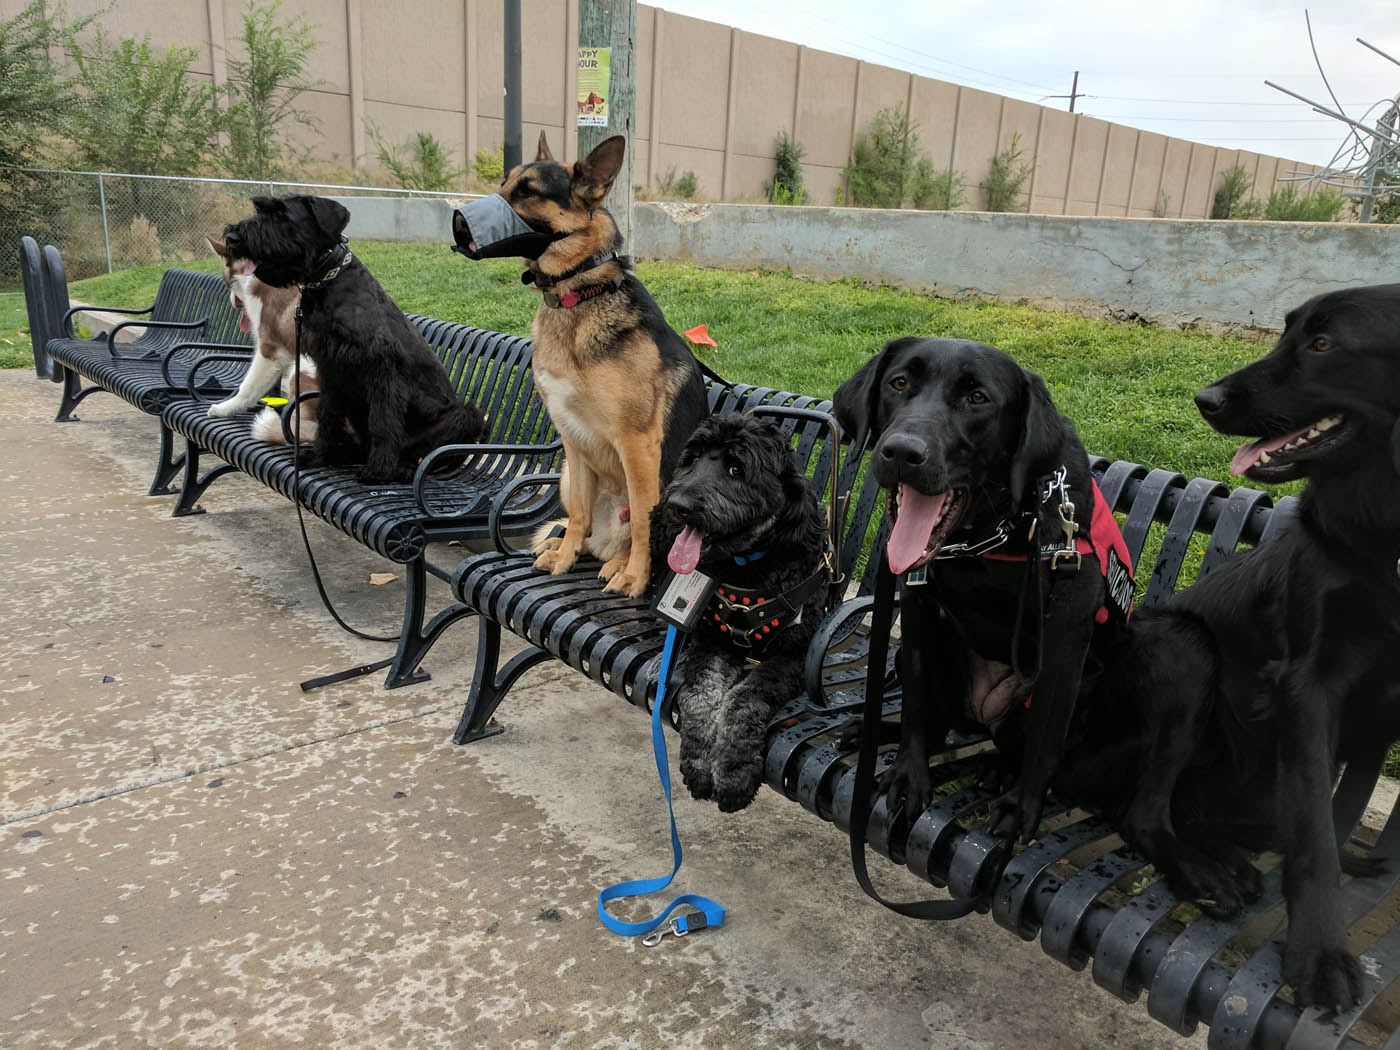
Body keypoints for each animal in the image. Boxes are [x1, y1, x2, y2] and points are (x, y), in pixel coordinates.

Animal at [222, 196, 487, 484]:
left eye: (282, 214)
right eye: (260, 209)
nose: (233, 237)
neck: (328, 282)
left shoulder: (383, 370)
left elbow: (383, 422)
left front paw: (379, 470)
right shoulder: (330, 368)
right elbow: (327, 415)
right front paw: (320, 454)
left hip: (466, 415)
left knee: (425, 454)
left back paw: (402, 467)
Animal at [453, 132, 705, 599]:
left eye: (528, 191)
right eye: (503, 183)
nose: (458, 224)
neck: (577, 295)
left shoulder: (637, 443)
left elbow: (643, 524)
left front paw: (635, 577)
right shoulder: (572, 437)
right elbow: (580, 517)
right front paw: (566, 557)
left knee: (638, 529)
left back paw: (622, 565)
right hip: (569, 475)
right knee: (584, 526)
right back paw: (571, 548)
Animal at [652, 414, 834, 812]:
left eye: (736, 468)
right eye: (693, 459)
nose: (676, 504)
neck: (748, 568)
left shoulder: (796, 653)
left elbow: (744, 697)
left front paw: (734, 770)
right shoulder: (711, 638)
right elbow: (700, 695)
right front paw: (699, 763)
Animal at [1058, 284, 1400, 1013]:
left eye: (1324, 344)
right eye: (1288, 332)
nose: (1206, 399)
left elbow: (1320, 818)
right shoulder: (1309, 685)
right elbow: (1313, 836)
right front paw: (1319, 952)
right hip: (1188, 651)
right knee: (1145, 812)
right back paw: (1205, 868)